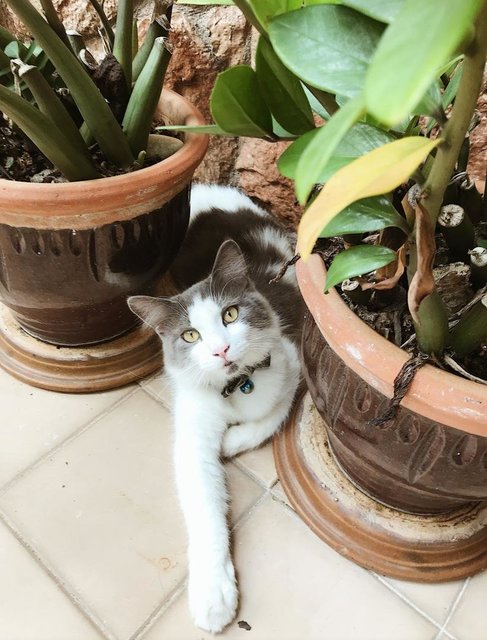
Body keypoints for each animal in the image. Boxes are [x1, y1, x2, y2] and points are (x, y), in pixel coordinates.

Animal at [127, 185, 304, 636]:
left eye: (231, 314)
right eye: (190, 335)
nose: (221, 350)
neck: (235, 386)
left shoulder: (295, 361)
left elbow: (274, 413)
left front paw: (232, 440)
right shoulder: (192, 430)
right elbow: (204, 506)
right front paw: (213, 595)